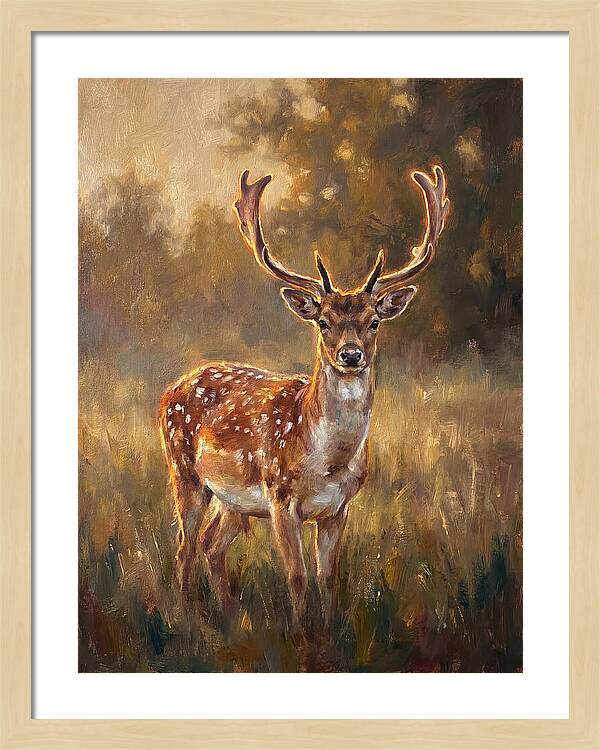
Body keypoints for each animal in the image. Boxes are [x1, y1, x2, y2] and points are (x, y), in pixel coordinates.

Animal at [159, 165, 449, 630]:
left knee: (210, 544)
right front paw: (299, 635)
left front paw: (328, 633)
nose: (351, 355)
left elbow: (327, 578)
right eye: (323, 321)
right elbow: (296, 577)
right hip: (184, 472)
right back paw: (188, 618)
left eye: (373, 321)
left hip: (233, 500)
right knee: (185, 545)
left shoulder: (339, 508)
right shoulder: (280, 498)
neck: (327, 464)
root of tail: (172, 388)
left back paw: (229, 617)